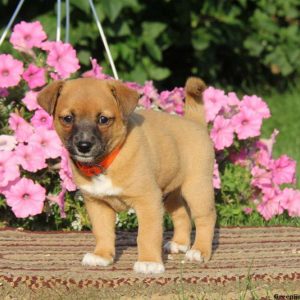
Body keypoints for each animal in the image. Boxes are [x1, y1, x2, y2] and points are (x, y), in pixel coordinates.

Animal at [37, 77, 216, 274]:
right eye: (68, 118)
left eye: (103, 119)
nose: (84, 146)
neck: (106, 162)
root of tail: (194, 123)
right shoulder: (98, 204)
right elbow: (103, 232)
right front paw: (102, 255)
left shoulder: (148, 201)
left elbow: (147, 235)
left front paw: (149, 262)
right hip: (171, 193)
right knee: (182, 214)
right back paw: (180, 244)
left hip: (196, 188)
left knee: (206, 218)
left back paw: (199, 251)